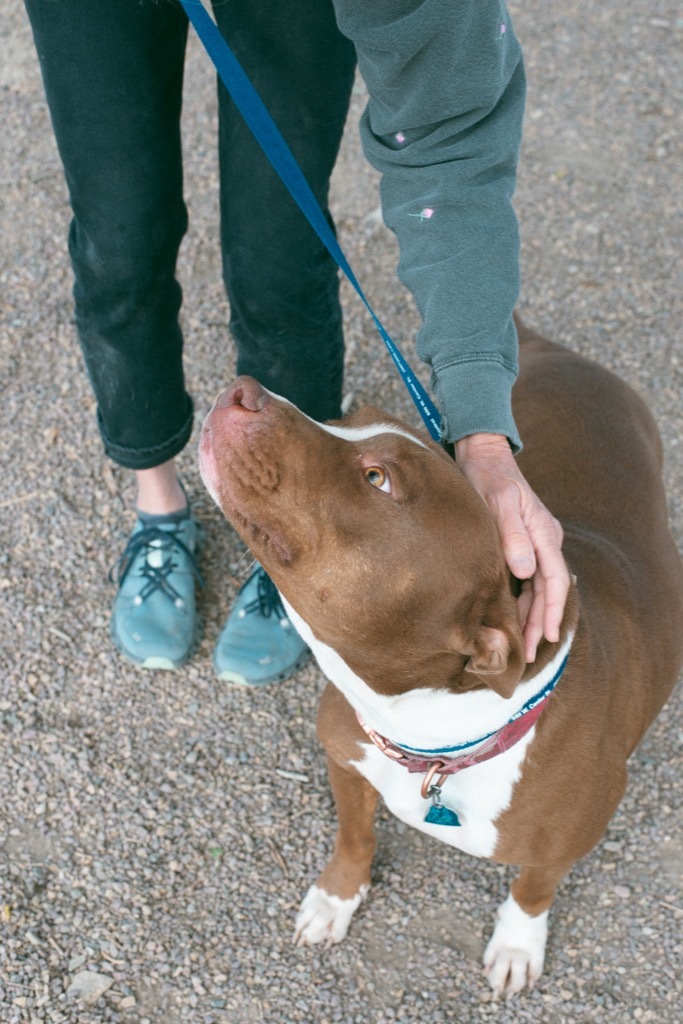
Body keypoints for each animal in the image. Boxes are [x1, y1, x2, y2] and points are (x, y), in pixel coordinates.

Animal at [197, 317, 683, 991]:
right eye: (349, 424)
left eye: (378, 478)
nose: (245, 389)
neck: (433, 737)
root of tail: (561, 352)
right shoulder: (346, 760)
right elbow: (354, 836)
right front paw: (336, 897)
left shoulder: (572, 839)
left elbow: (535, 887)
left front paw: (517, 944)